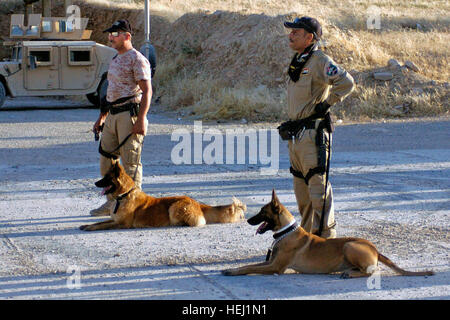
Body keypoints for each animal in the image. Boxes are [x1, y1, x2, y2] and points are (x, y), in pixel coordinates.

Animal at [80, 161, 246, 231]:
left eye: (106, 178)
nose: (95, 183)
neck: (124, 195)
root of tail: (197, 203)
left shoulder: (122, 223)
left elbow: (104, 225)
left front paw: (90, 228)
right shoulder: (115, 219)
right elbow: (100, 222)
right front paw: (86, 225)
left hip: (174, 207)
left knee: (197, 223)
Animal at [223, 190, 434, 278]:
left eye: (262, 212)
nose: (247, 220)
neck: (286, 232)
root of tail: (375, 248)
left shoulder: (276, 267)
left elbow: (249, 268)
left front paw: (233, 272)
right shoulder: (271, 262)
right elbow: (248, 265)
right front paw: (231, 269)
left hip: (350, 245)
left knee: (374, 271)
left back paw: (350, 274)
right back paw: (349, 271)